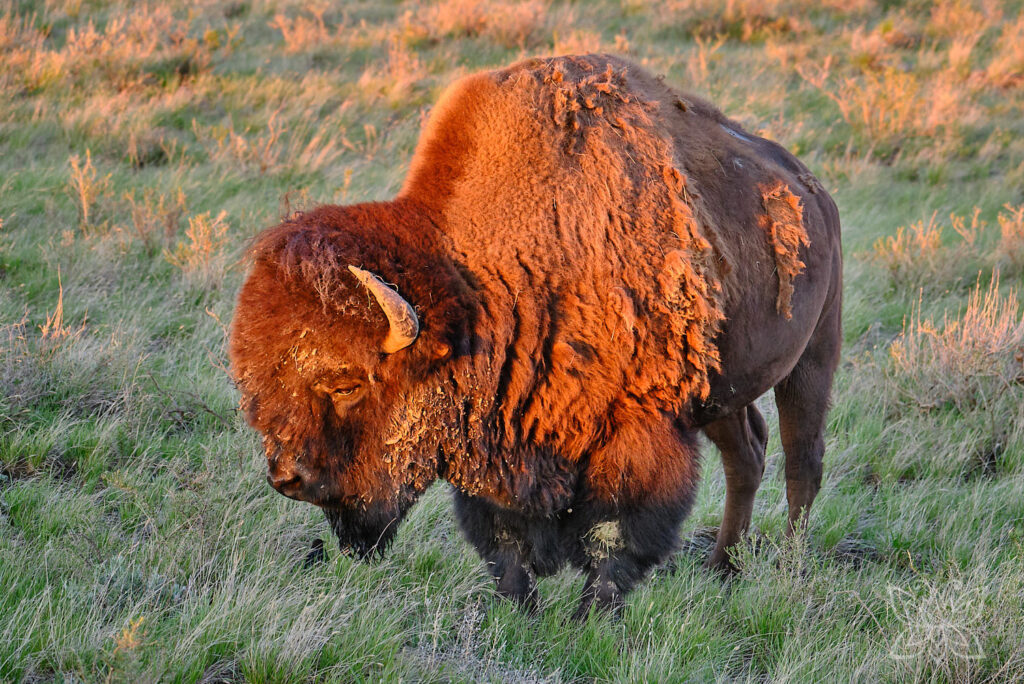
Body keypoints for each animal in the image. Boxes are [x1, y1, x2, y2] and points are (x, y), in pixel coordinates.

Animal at [229, 54, 842, 618]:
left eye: (348, 385)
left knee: (801, 462)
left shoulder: (639, 428)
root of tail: (813, 191)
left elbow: (613, 531)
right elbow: (504, 536)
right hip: (720, 390)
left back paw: (787, 566)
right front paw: (517, 605)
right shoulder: (498, 433)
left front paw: (594, 614)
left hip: (813, 356)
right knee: (748, 455)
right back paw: (722, 568)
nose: (287, 478)